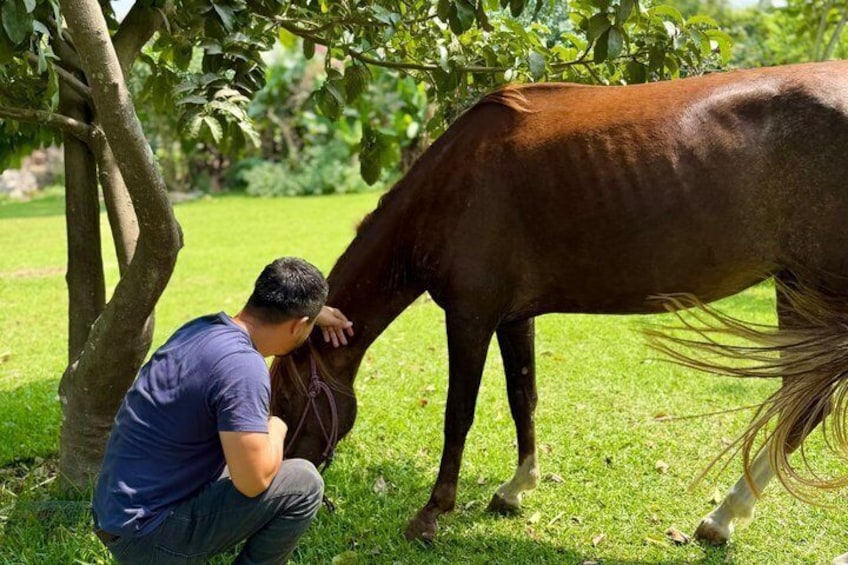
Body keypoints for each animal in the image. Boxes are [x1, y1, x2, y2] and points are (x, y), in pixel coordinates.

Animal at [270, 60, 848, 553]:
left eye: (285, 400)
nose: (278, 479)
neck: (453, 185)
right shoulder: (512, 316)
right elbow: (522, 396)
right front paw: (515, 488)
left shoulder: (470, 316)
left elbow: (458, 414)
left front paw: (431, 514)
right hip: (799, 287)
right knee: (802, 406)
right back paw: (724, 519)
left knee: (803, 406)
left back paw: (725, 516)